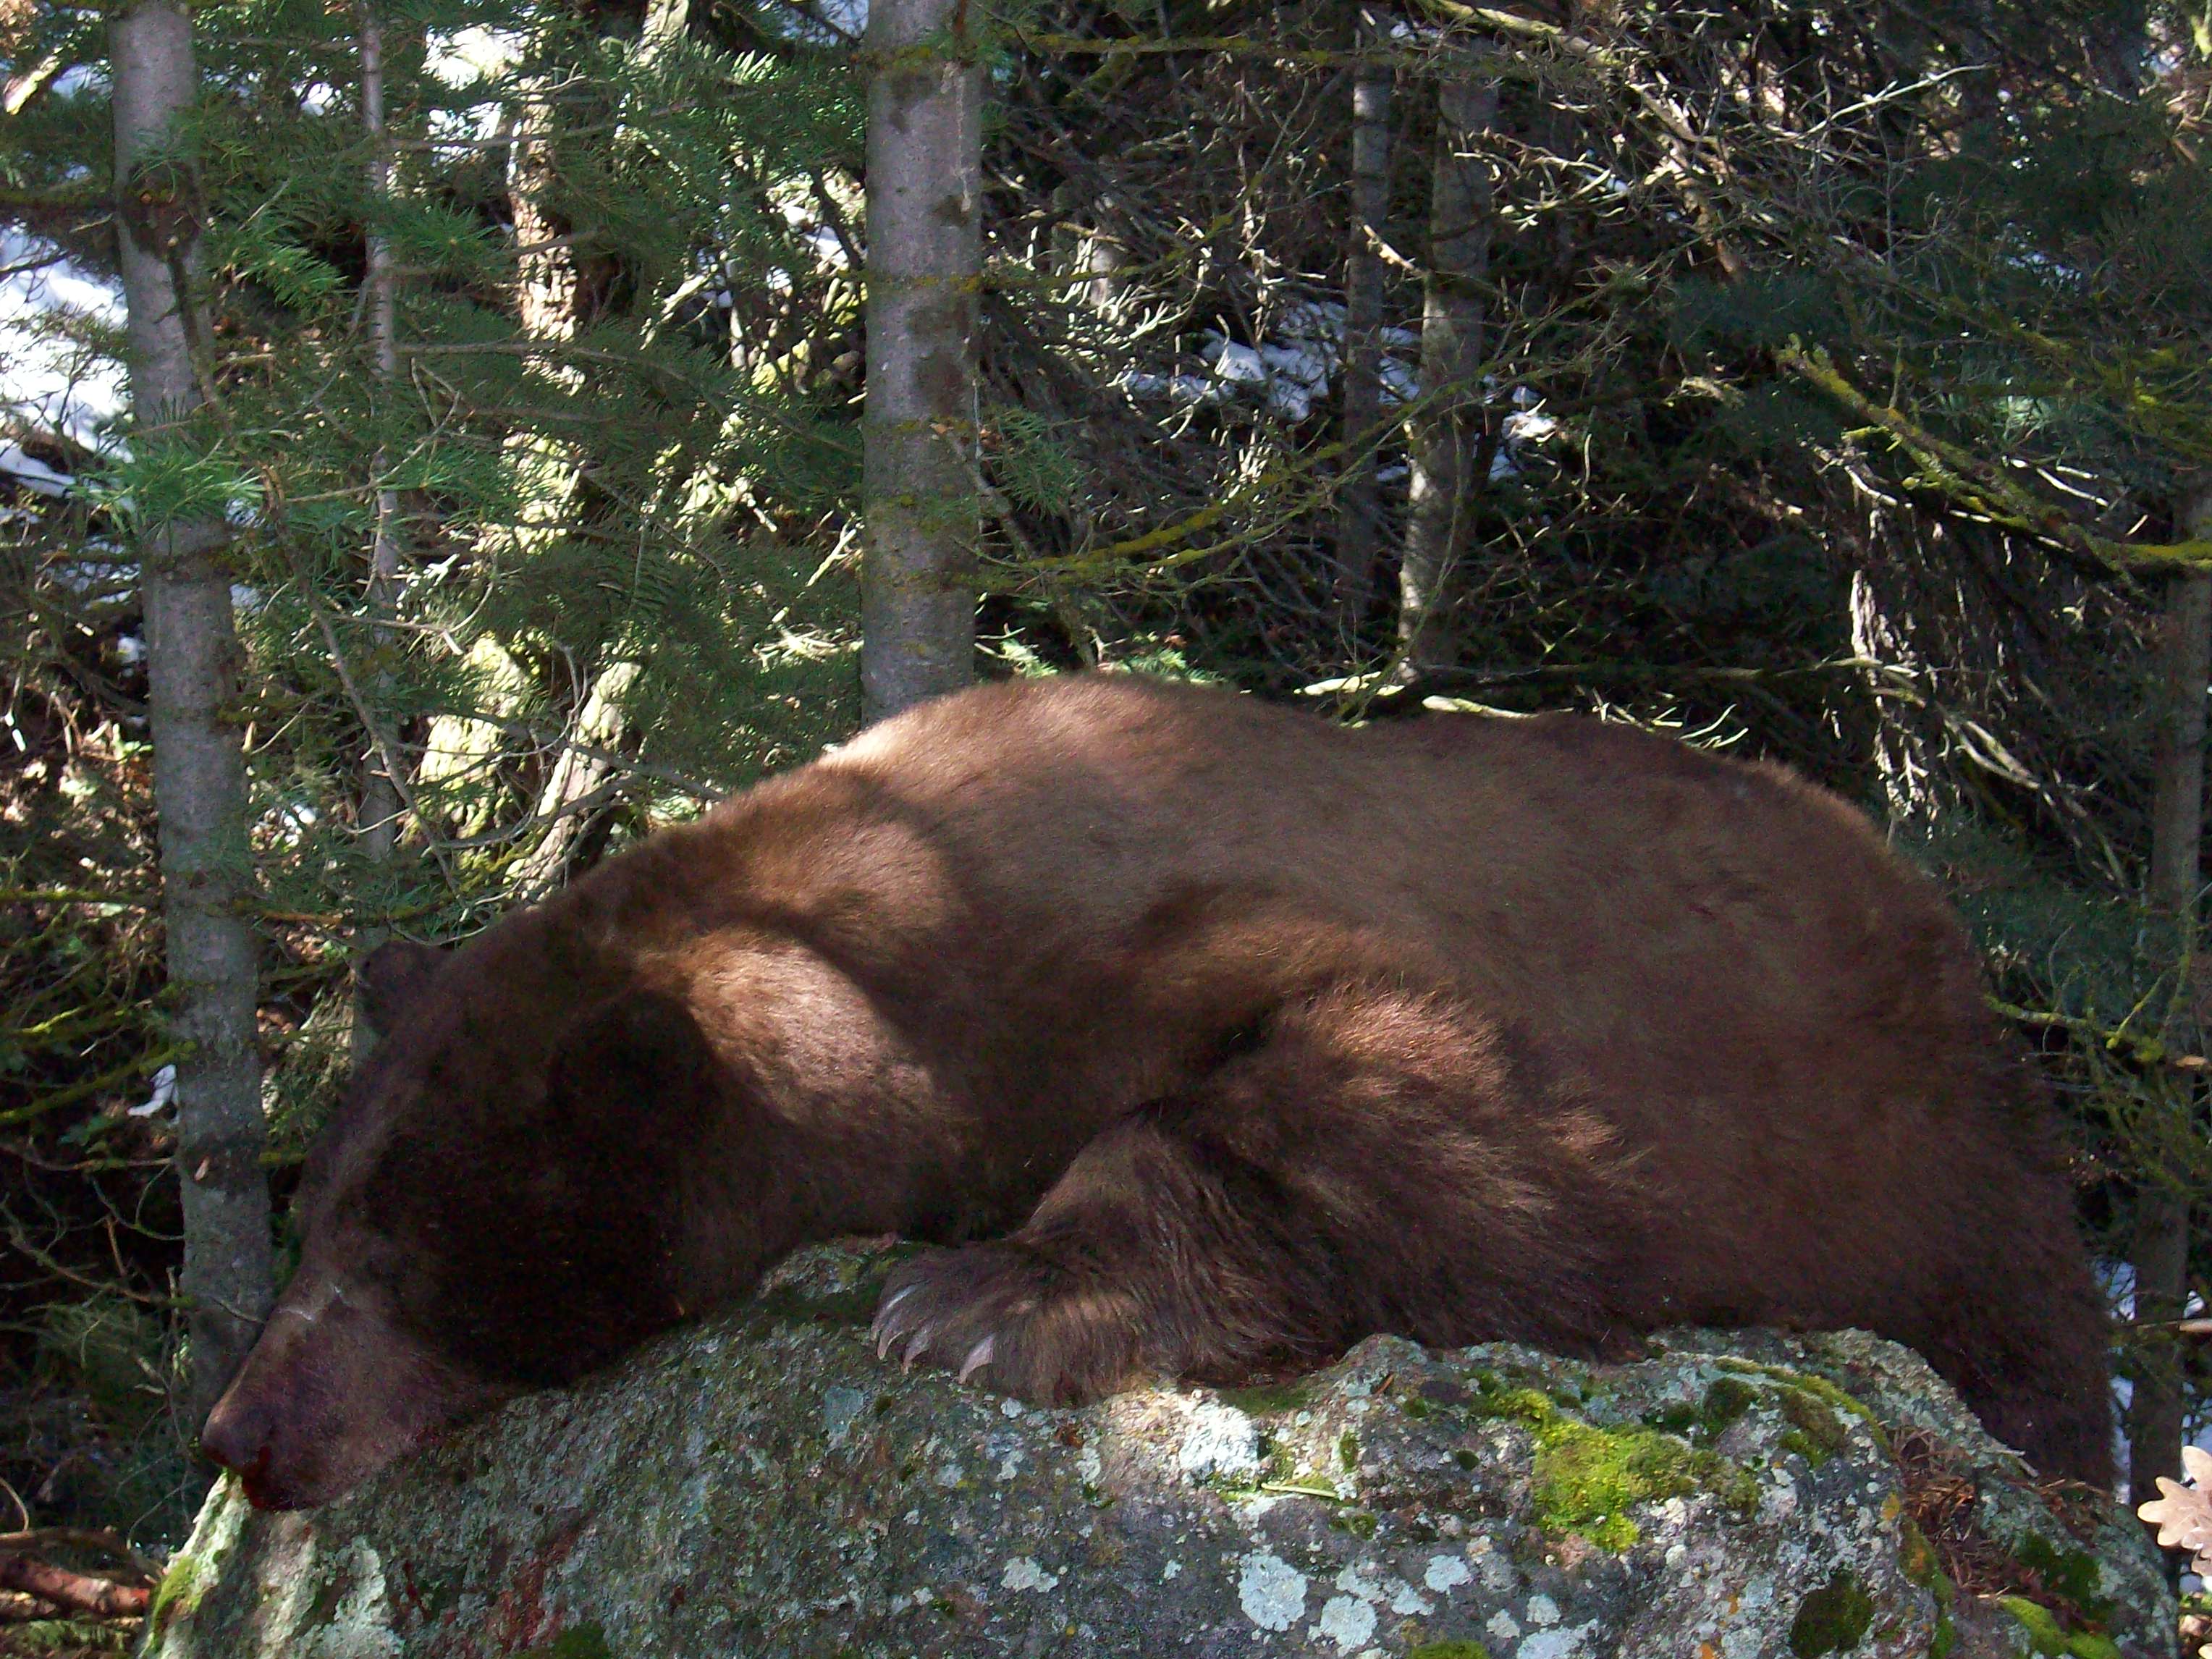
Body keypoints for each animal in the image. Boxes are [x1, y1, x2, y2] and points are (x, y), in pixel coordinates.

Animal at [199, 672, 2112, 1510]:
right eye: (313, 1223)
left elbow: (1424, 1106)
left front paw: (981, 1298)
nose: (238, 1433)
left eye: (389, 1255)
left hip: (1943, 1175)